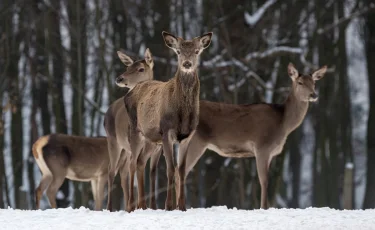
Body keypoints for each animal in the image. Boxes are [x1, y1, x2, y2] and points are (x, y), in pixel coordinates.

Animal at [105, 48, 162, 212]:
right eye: (127, 67)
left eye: (141, 69)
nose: (119, 78)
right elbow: (135, 167)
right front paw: (137, 204)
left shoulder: (158, 148)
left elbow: (152, 172)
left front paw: (153, 206)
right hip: (113, 141)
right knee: (112, 170)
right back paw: (111, 207)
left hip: (126, 148)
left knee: (123, 171)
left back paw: (127, 205)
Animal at [122, 31, 212, 211]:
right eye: (178, 51)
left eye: (197, 51)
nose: (187, 63)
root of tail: (133, 89)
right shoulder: (166, 132)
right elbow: (170, 168)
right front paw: (169, 206)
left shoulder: (187, 136)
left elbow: (181, 170)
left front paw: (182, 206)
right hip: (134, 130)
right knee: (132, 163)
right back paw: (131, 206)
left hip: (152, 140)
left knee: (141, 162)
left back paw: (144, 205)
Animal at [171, 62, 328, 209]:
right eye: (300, 82)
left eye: (314, 83)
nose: (314, 95)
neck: (283, 123)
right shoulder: (262, 146)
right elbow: (264, 180)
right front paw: (264, 207)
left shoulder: (270, 152)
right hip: (196, 142)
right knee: (180, 172)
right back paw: (180, 206)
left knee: (177, 171)